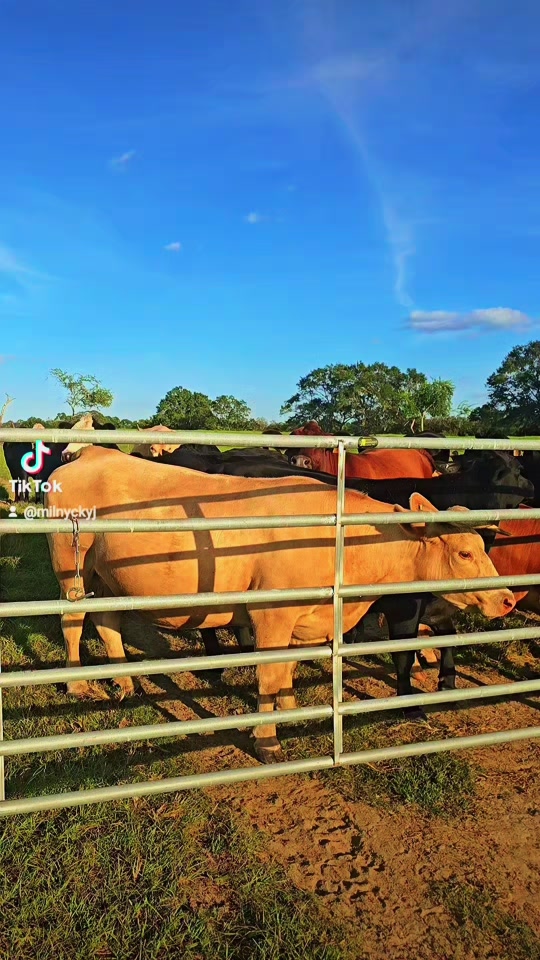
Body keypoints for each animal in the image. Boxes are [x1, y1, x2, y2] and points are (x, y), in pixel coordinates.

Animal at [45, 446, 515, 762]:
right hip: (72, 565)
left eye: (483, 546)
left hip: (108, 574)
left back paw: (124, 682)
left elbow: (288, 668)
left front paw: (291, 710)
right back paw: (76, 683)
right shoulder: (271, 615)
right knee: (73, 619)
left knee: (107, 620)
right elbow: (270, 675)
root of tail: (92, 452)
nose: (508, 598)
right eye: (465, 553)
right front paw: (267, 739)